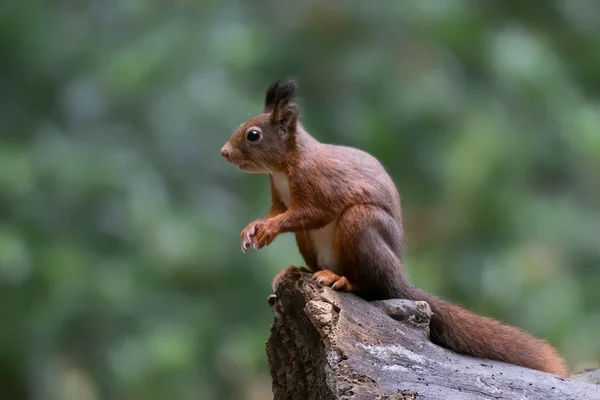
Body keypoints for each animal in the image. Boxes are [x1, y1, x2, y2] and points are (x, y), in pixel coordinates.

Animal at [220, 79, 568, 378]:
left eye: (253, 135)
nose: (224, 152)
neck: (284, 166)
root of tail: (398, 276)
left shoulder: (318, 183)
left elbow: (310, 213)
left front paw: (269, 228)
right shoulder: (279, 194)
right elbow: (277, 211)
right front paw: (252, 228)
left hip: (361, 225)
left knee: (372, 287)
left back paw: (341, 280)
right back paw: (299, 271)